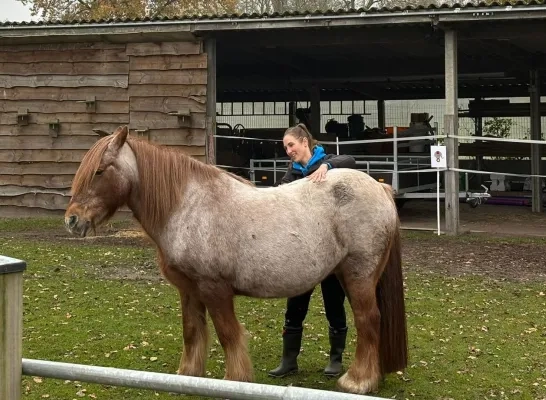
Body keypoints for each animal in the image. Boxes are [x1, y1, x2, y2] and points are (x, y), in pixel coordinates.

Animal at [63, 126, 406, 396]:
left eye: (99, 170)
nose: (72, 220)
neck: (188, 207)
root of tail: (379, 187)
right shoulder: (188, 290)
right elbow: (192, 330)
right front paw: (188, 376)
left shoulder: (214, 289)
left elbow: (228, 335)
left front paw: (235, 380)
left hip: (357, 275)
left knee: (367, 320)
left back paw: (358, 381)